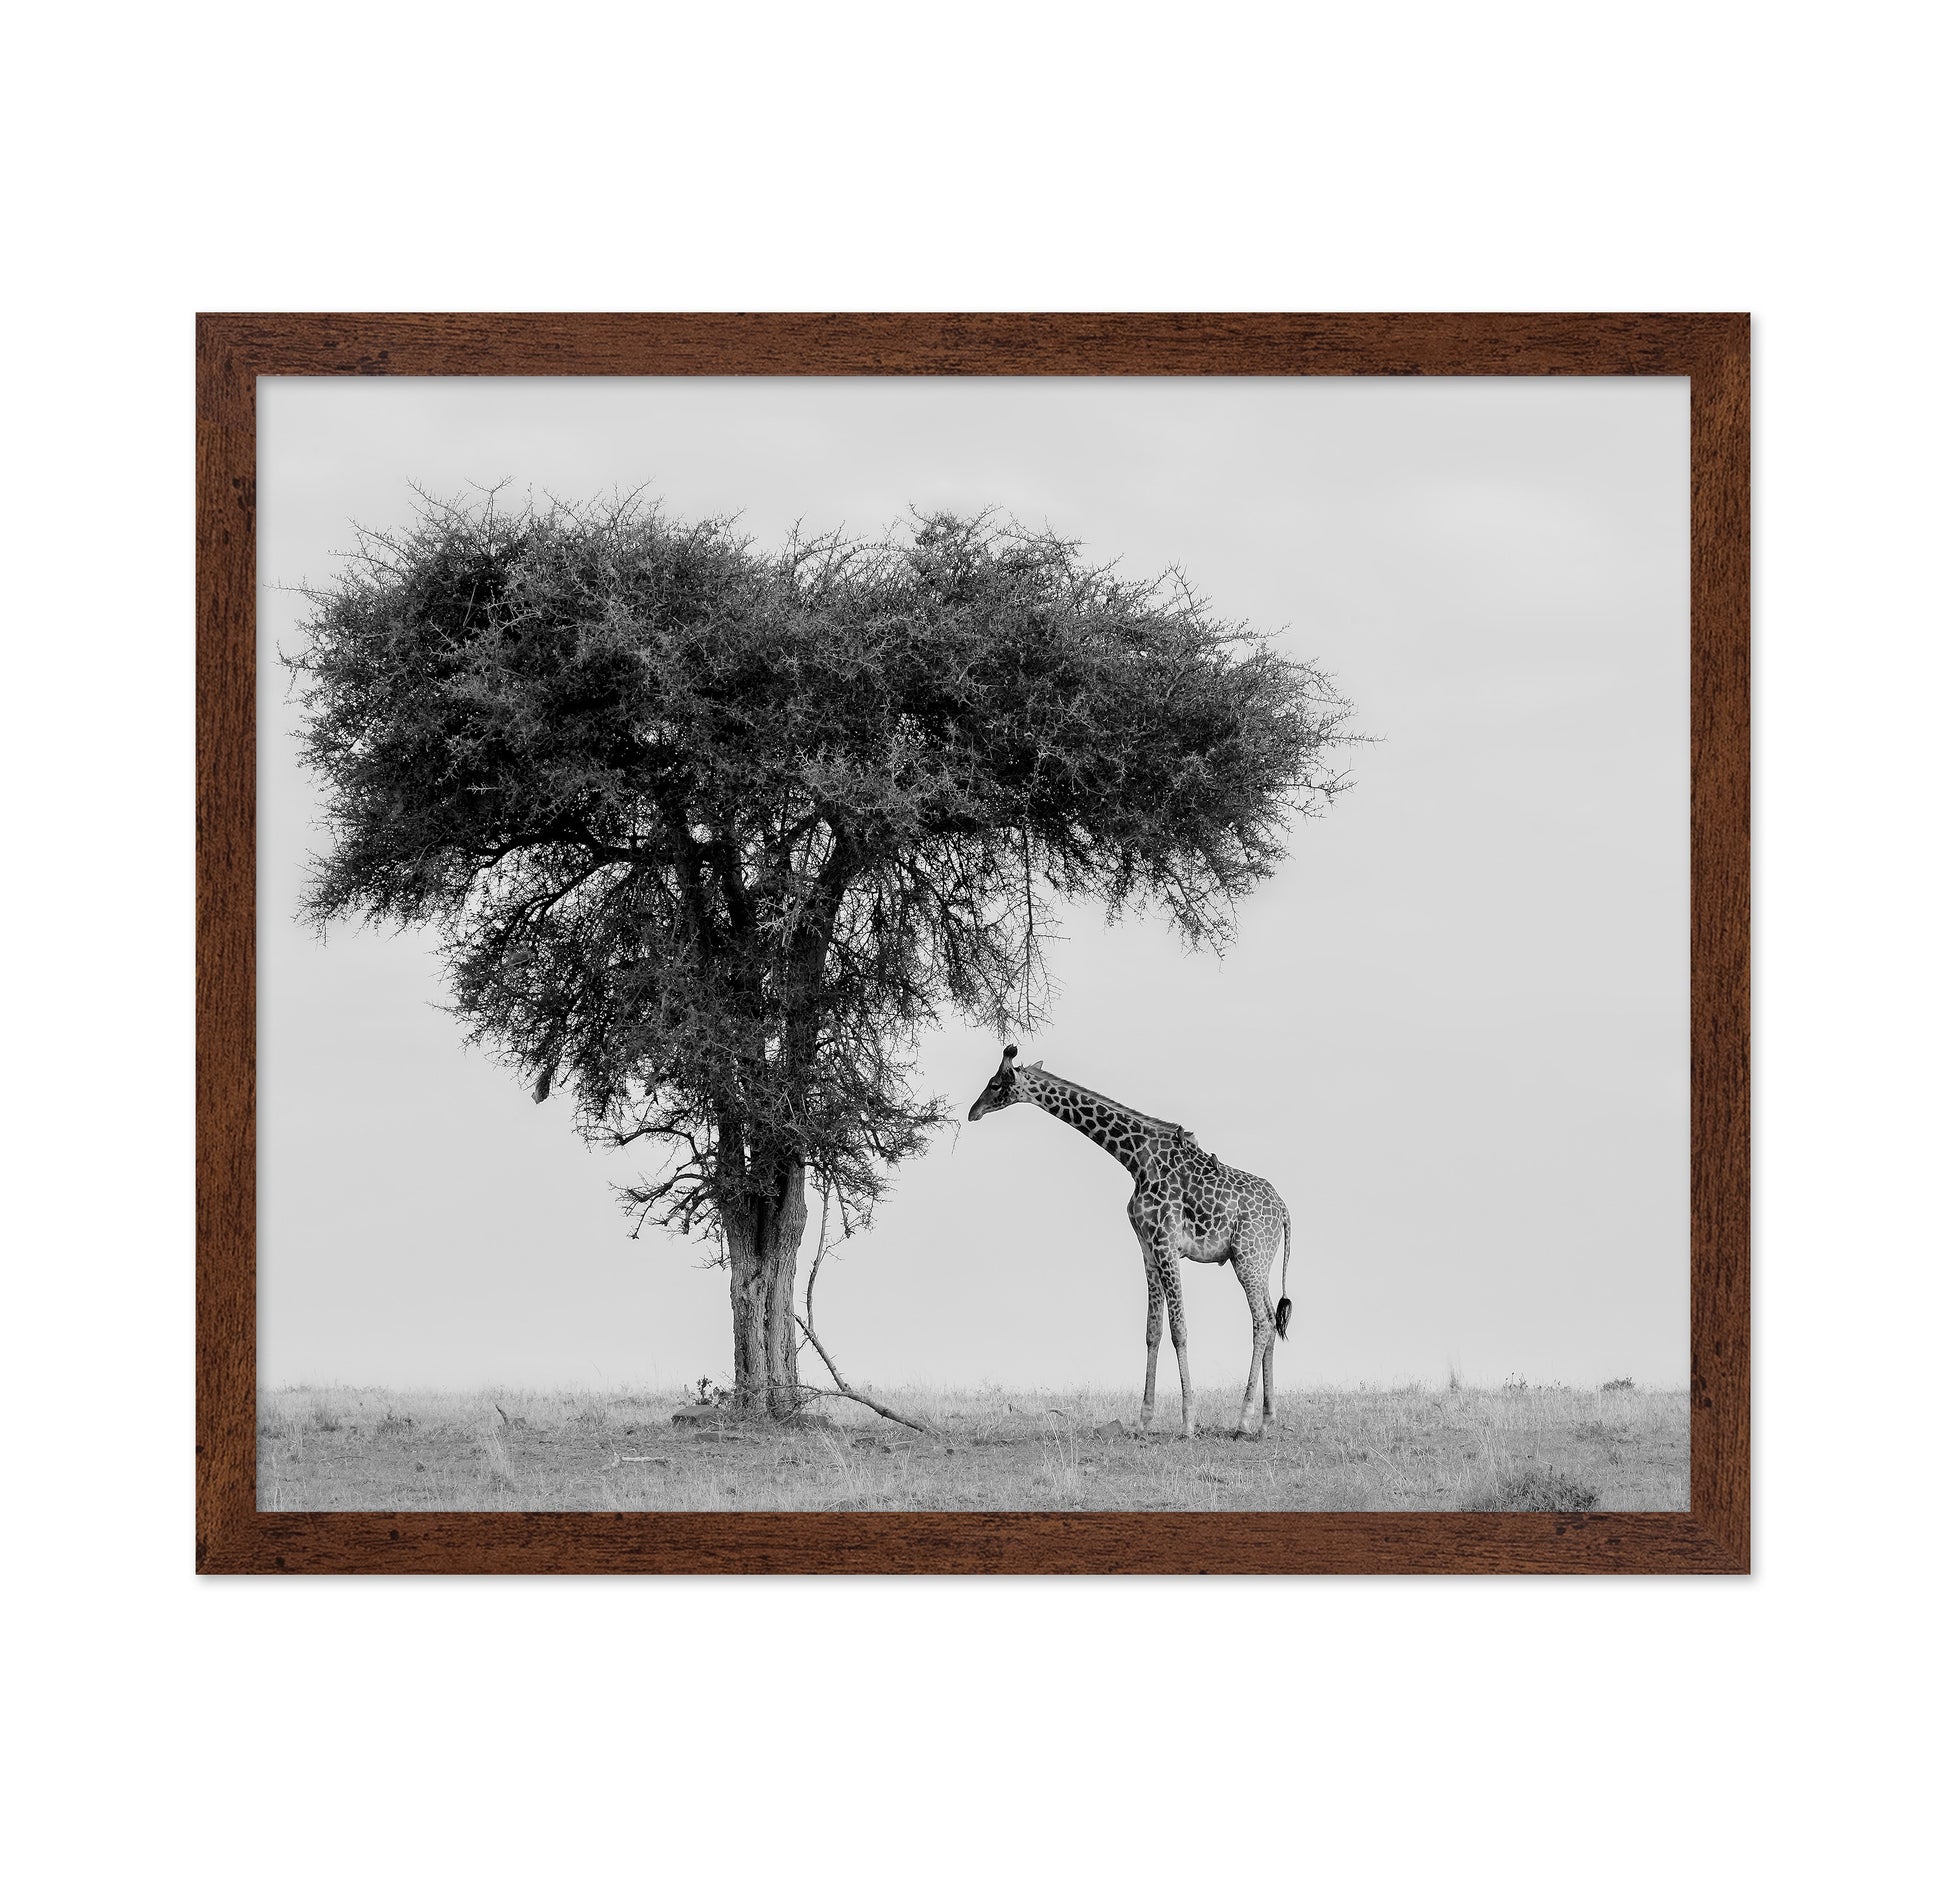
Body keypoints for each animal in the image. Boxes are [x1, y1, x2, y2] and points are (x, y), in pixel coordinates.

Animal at [966, 1046, 1293, 1439]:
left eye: (996, 1083)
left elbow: (1179, 1330)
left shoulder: (1167, 1244)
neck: (1135, 1158)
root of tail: (1284, 1210)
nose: (973, 1112)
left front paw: (1187, 1422)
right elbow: (1153, 1331)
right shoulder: (1148, 1248)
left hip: (1247, 1257)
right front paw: (1143, 1420)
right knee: (1271, 1319)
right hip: (1260, 1260)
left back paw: (1243, 1421)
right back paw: (1267, 1420)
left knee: (1261, 1322)